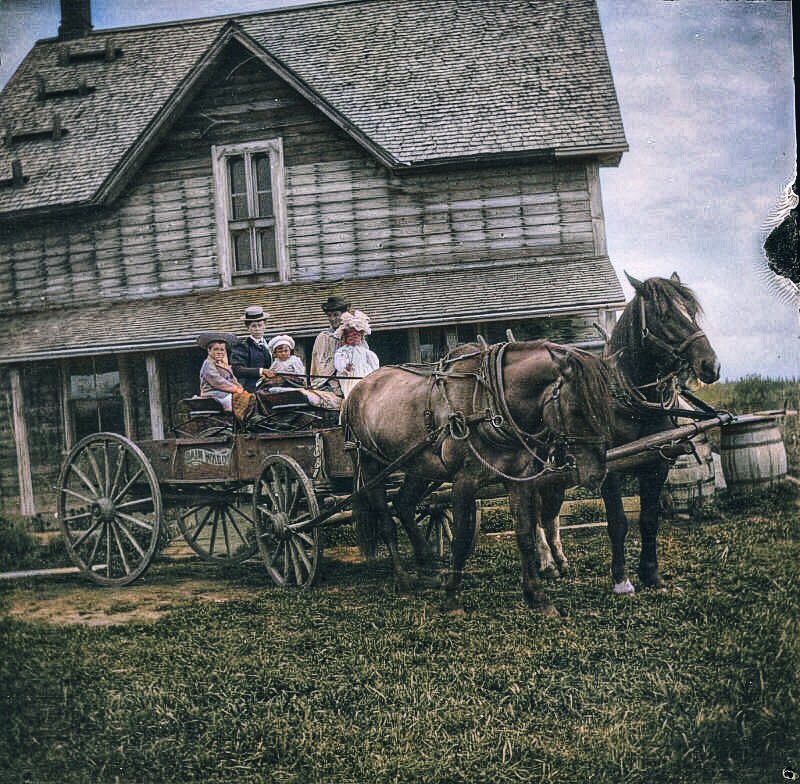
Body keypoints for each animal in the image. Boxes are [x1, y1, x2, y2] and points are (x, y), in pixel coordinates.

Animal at [340, 340, 612, 616]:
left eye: (605, 403)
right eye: (577, 409)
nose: (597, 474)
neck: (488, 402)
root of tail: (356, 391)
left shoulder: (518, 477)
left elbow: (525, 534)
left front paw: (538, 596)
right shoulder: (464, 481)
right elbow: (461, 539)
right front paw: (452, 598)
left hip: (418, 465)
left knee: (404, 505)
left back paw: (429, 566)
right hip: (371, 467)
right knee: (387, 521)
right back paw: (404, 578)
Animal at [536, 272, 720, 592]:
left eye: (691, 311)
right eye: (664, 315)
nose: (710, 364)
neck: (633, 406)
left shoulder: (657, 464)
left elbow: (648, 520)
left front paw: (651, 574)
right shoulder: (608, 470)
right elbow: (618, 522)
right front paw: (622, 579)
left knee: (551, 512)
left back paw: (559, 561)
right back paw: (545, 563)